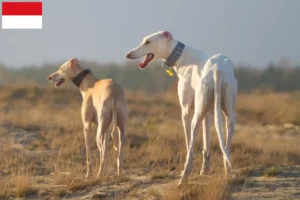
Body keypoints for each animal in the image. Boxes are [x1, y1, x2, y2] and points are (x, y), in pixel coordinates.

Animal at [126, 30, 237, 185]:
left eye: (148, 42)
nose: (128, 54)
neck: (182, 57)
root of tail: (217, 70)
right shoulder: (207, 112)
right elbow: (206, 144)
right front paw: (205, 169)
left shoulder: (185, 110)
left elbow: (189, 141)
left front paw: (192, 169)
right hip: (228, 114)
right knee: (226, 146)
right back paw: (229, 174)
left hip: (196, 116)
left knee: (191, 144)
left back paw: (184, 176)